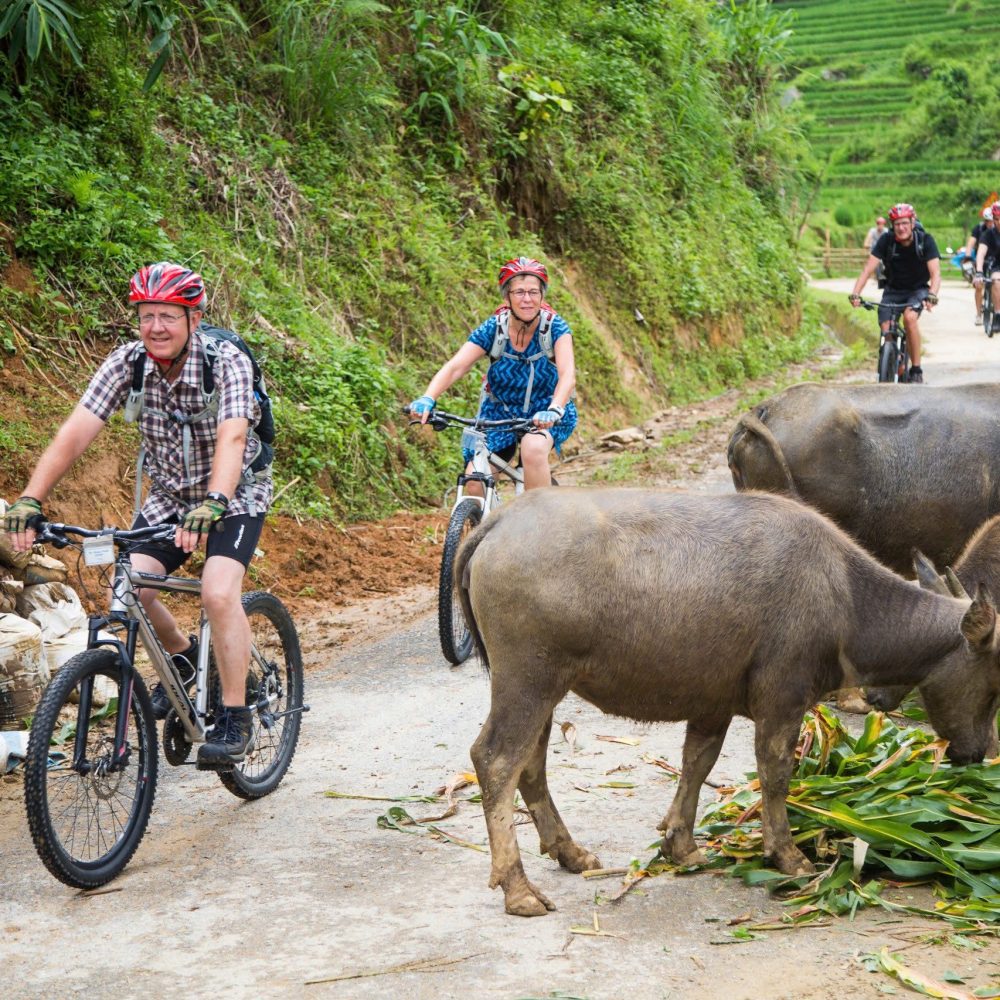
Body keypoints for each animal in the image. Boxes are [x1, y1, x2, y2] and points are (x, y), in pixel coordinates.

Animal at [456, 488, 1000, 916]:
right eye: (995, 685)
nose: (979, 753)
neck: (844, 593)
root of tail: (497, 524)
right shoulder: (782, 698)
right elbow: (775, 773)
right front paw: (786, 854)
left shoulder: (712, 704)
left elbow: (697, 764)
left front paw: (681, 845)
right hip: (529, 680)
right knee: (496, 759)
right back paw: (518, 889)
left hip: (543, 687)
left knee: (531, 764)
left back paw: (569, 853)